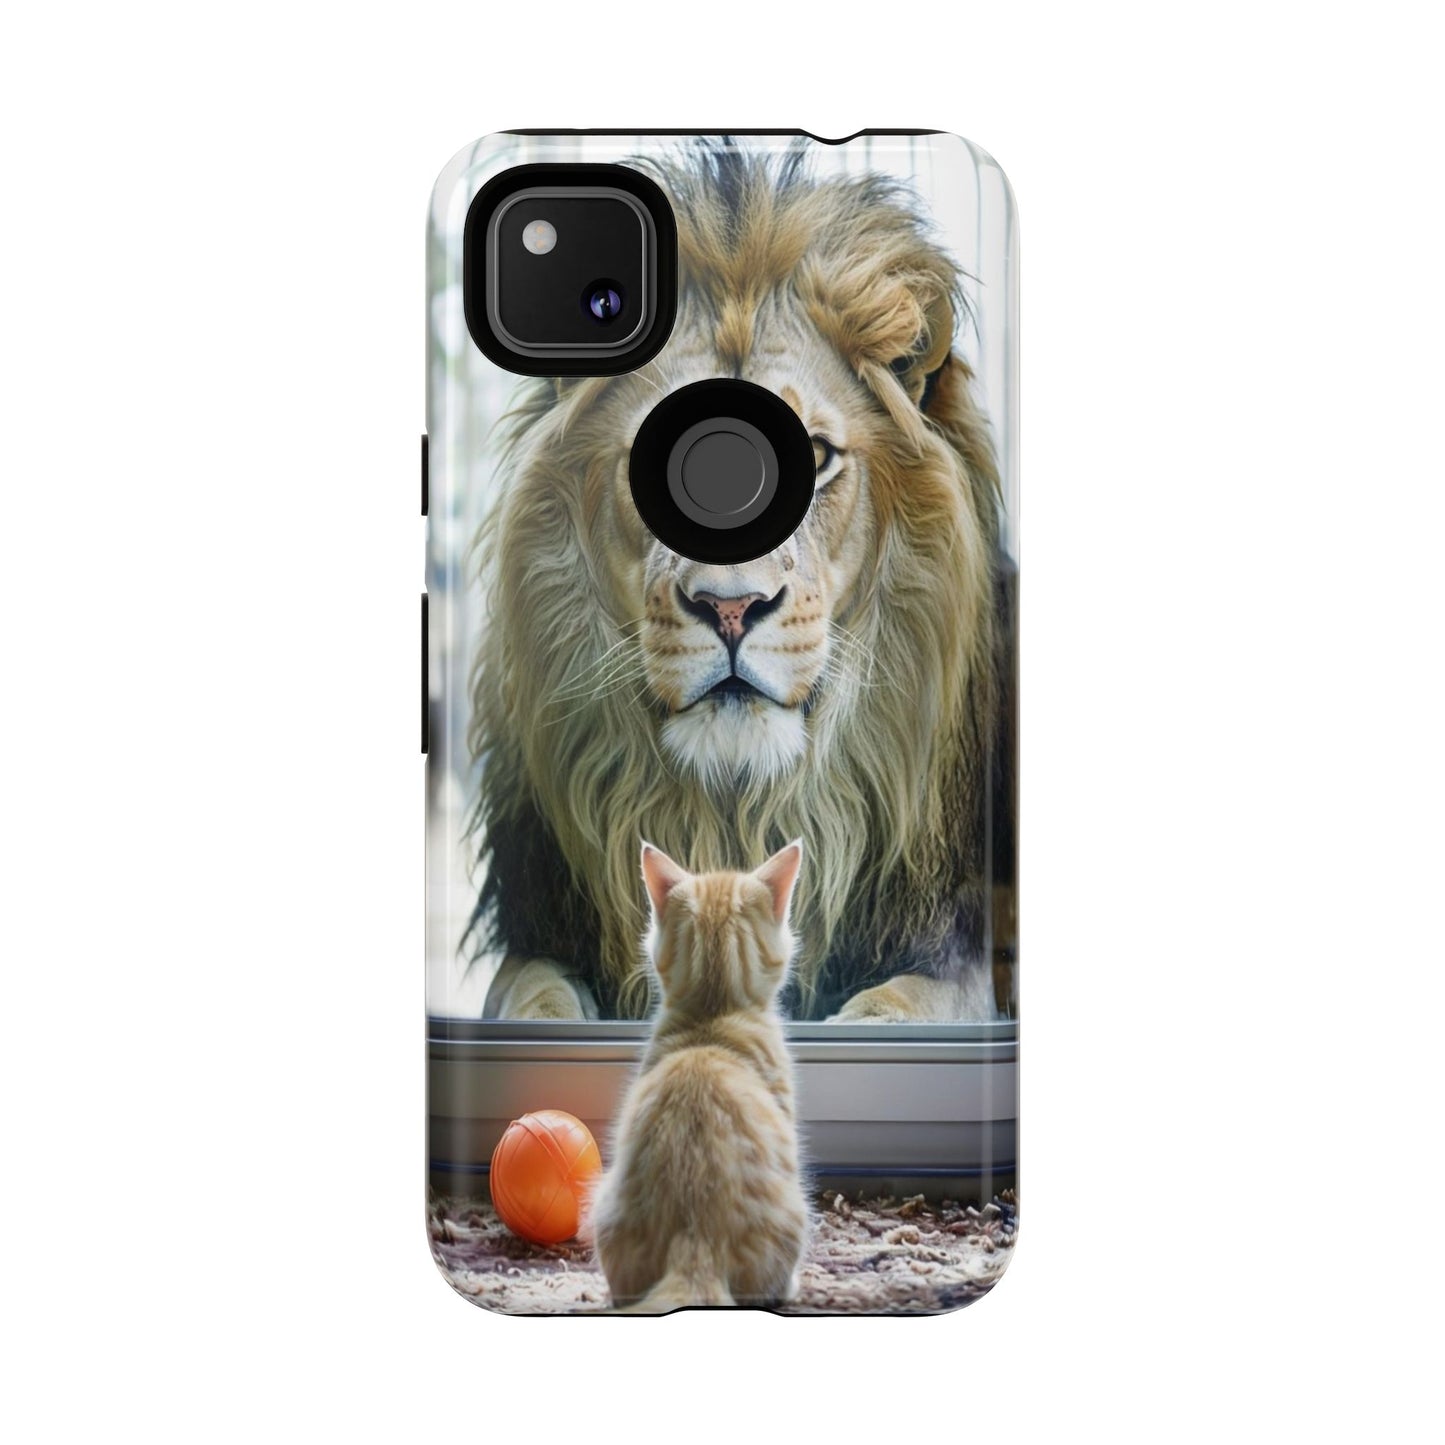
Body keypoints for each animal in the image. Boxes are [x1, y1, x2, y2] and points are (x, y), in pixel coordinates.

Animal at [466, 147, 1016, 1023]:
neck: (736, 813)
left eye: (814, 455)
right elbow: (530, 1001)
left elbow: (902, 1005)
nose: (730, 608)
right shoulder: (542, 937)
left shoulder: (956, 953)